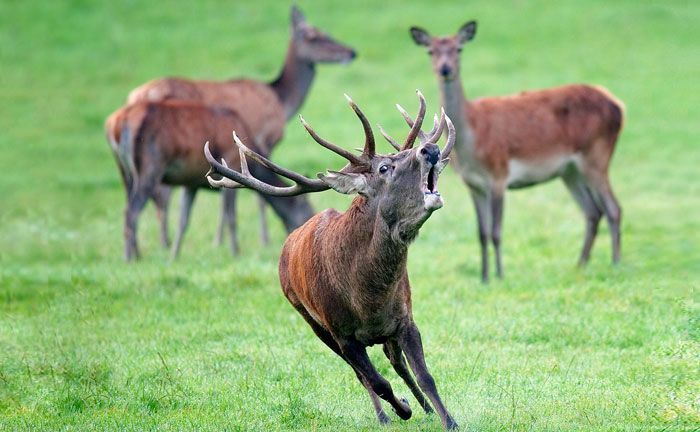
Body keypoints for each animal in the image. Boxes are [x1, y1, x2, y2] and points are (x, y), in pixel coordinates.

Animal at [108, 99, 314, 261]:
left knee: (129, 208)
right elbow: (231, 216)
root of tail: (120, 122)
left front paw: (174, 256)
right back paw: (129, 258)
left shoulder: (190, 184)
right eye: (307, 209)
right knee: (132, 211)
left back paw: (136, 254)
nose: (297, 235)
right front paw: (236, 252)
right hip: (150, 168)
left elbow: (183, 221)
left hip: (124, 172)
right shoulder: (231, 164)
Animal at [204, 92, 459, 429]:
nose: (429, 149)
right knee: (363, 376)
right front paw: (402, 409)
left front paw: (448, 420)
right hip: (313, 323)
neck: (368, 298)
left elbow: (425, 375)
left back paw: (424, 409)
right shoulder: (342, 333)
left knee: (396, 362)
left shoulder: (404, 318)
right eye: (385, 168)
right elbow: (377, 381)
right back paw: (385, 415)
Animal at [410, 21, 625, 282]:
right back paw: (580, 265)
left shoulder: (499, 175)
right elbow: (481, 233)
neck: (471, 144)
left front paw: (500, 275)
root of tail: (618, 105)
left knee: (613, 208)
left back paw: (615, 262)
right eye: (430, 51)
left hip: (597, 155)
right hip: (570, 170)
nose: (445, 69)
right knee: (593, 211)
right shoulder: (473, 184)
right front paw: (484, 277)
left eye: (458, 49)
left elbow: (496, 231)